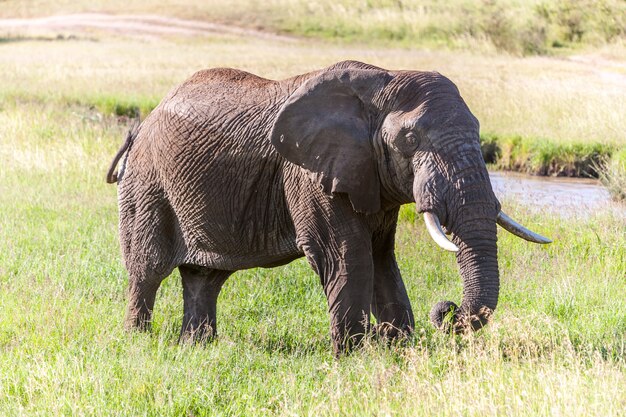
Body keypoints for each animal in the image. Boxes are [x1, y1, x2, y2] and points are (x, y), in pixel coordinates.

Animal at [106, 60, 544, 354]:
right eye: (410, 139)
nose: (447, 311)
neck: (383, 82)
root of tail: (144, 121)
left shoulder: (367, 174)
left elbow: (381, 258)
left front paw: (396, 349)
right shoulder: (308, 174)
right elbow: (347, 255)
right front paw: (353, 357)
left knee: (205, 277)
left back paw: (197, 347)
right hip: (148, 183)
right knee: (147, 270)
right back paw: (138, 342)